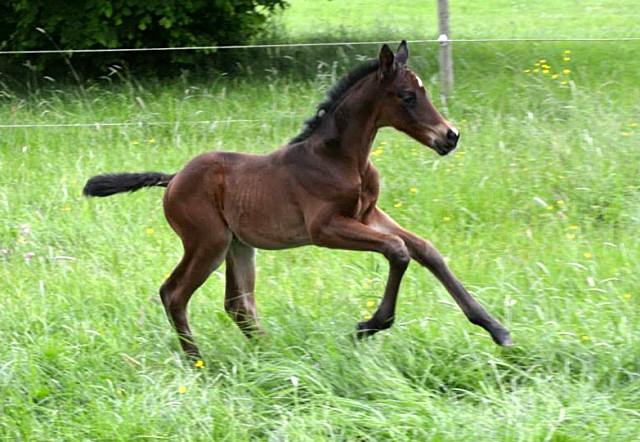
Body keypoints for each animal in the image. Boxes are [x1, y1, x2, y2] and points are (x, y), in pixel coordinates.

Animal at [86, 41, 516, 360]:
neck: (341, 159)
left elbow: (425, 250)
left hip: (238, 245)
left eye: (424, 91)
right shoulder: (324, 228)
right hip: (208, 242)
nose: (450, 136)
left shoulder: (368, 214)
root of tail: (174, 179)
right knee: (174, 293)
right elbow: (397, 250)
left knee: (238, 305)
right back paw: (198, 363)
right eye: (407, 96)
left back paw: (276, 355)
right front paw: (368, 326)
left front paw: (496, 329)